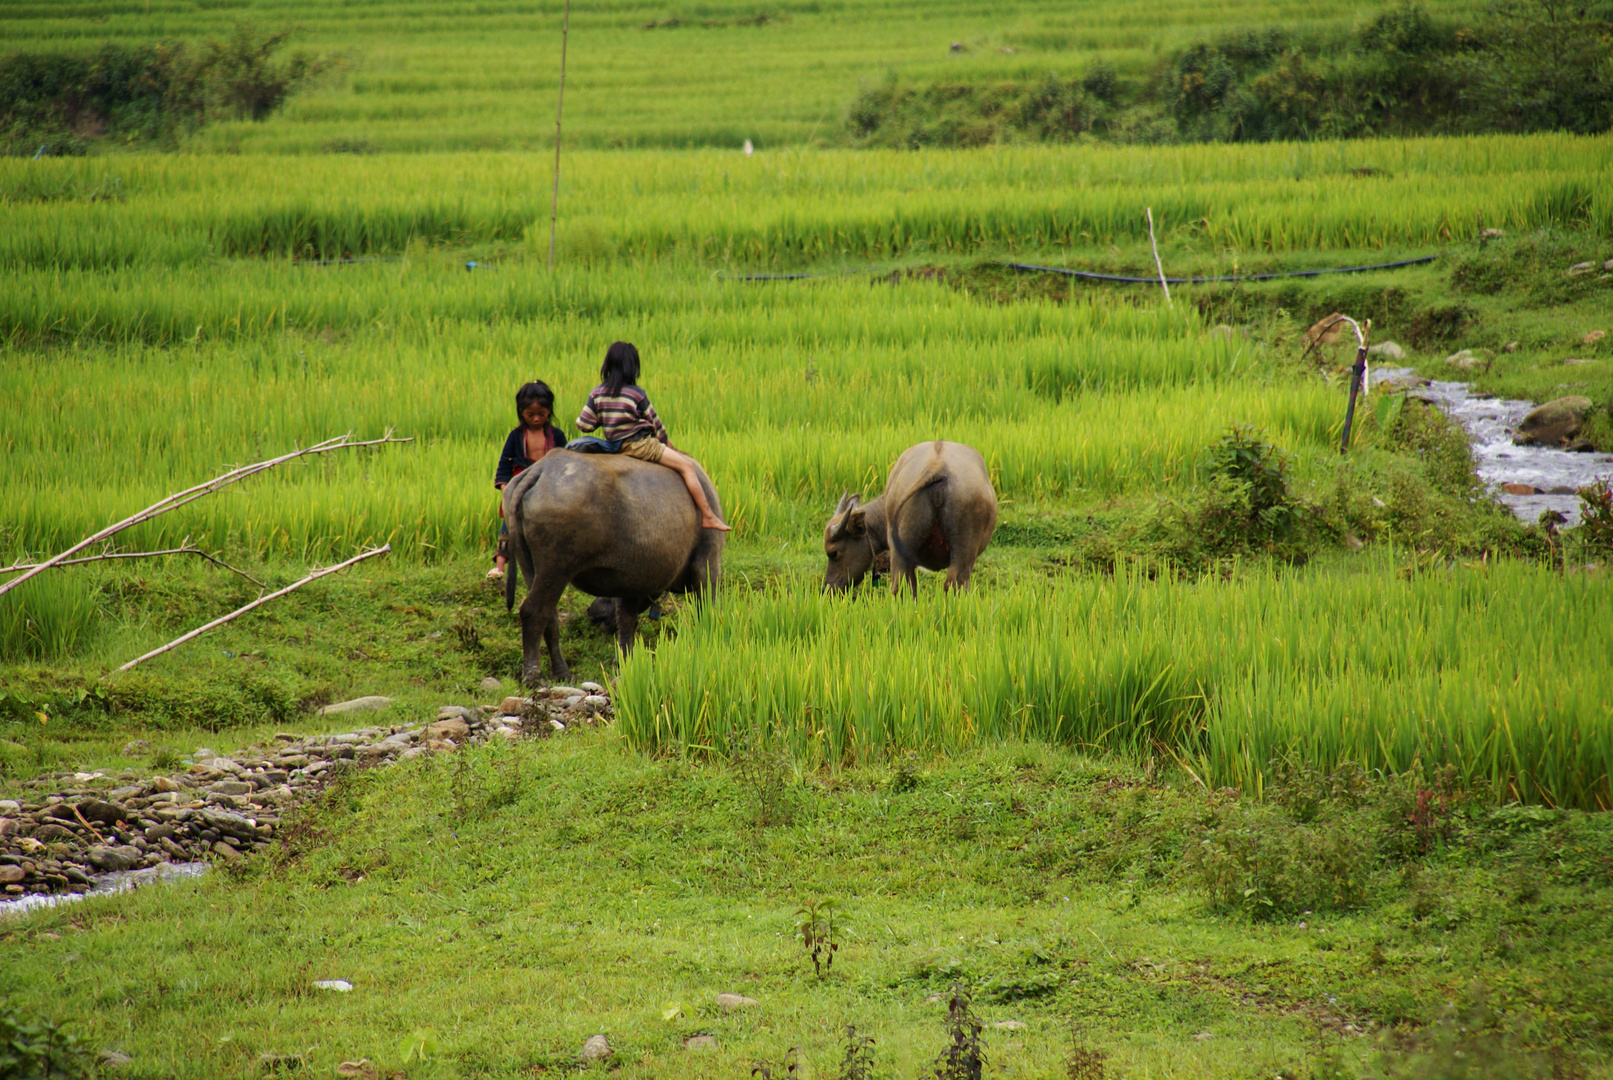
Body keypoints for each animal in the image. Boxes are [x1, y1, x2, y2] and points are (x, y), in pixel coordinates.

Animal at [503, 451, 725, 686]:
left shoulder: (632, 581)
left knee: (549, 617)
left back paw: (562, 672)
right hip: (555, 568)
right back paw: (533, 676)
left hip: (530, 565)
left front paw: (625, 661)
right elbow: (706, 612)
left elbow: (626, 621)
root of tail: (543, 468)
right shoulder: (708, 564)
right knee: (533, 612)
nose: (592, 613)